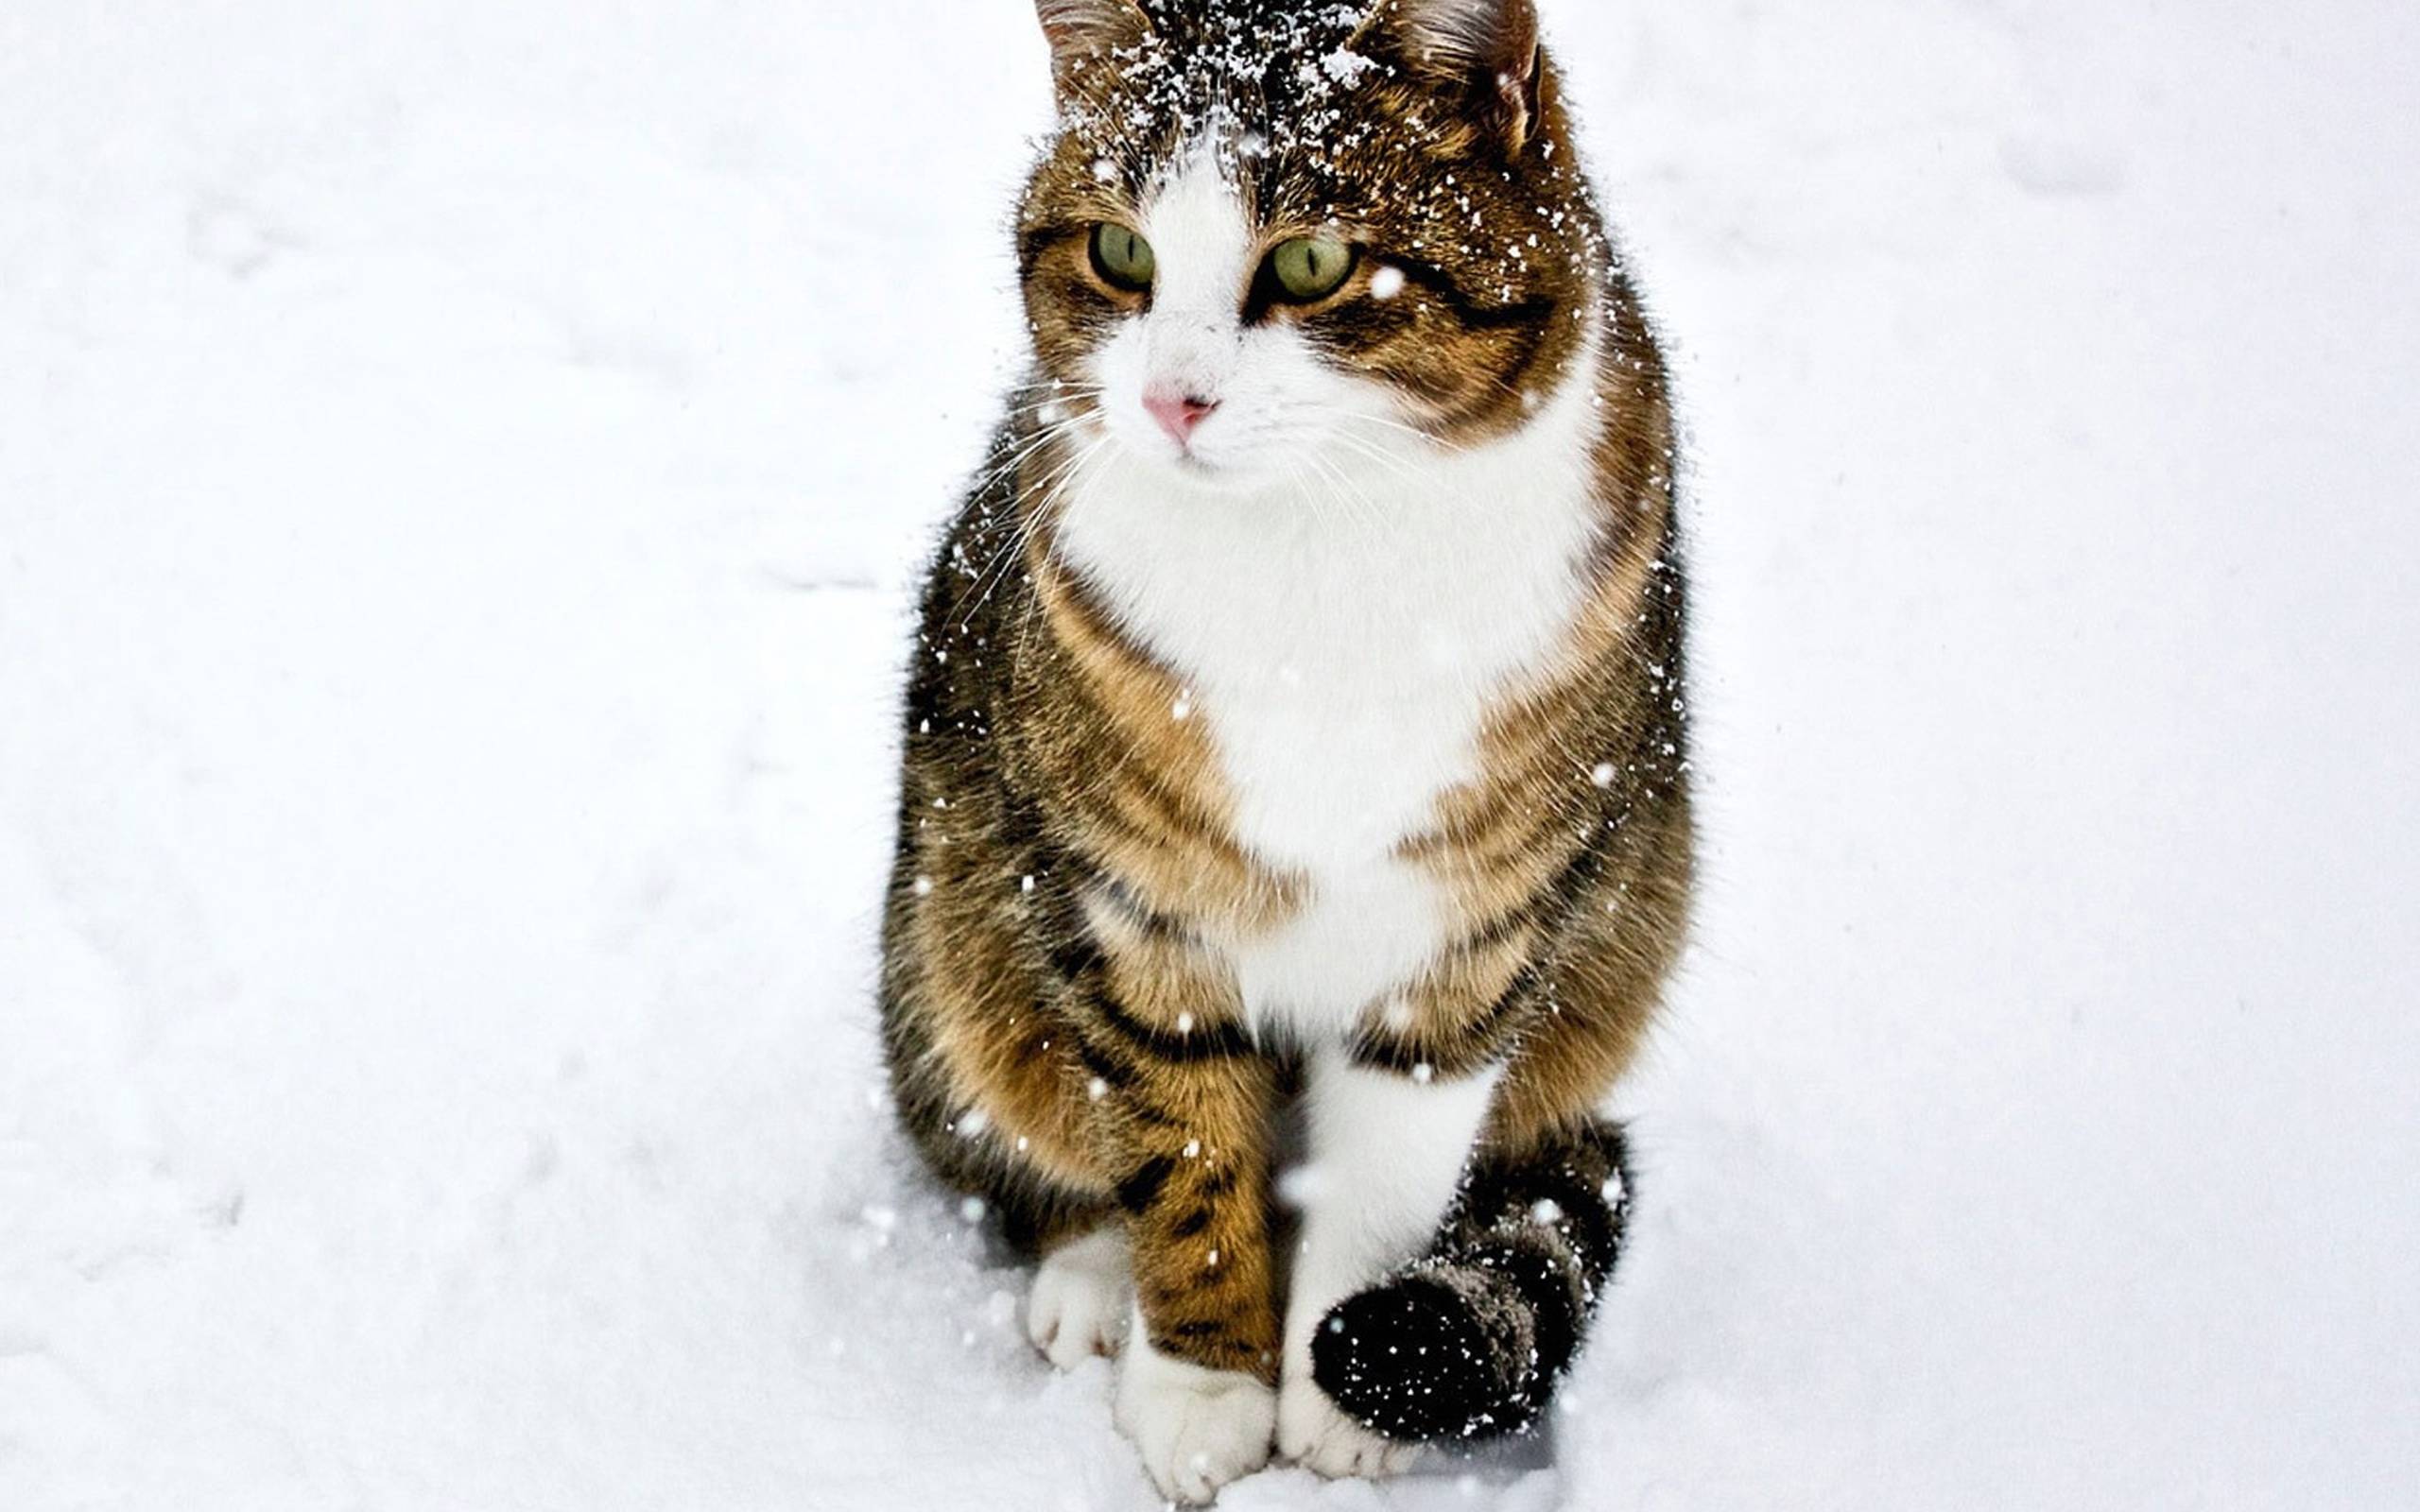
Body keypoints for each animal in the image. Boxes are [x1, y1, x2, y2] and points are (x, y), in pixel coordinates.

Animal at [880, 0, 1694, 1489]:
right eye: (1122, 253)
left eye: (1313, 262)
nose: (1173, 402)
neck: (1320, 554)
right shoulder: (1128, 895)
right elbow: (1180, 1141)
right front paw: (1202, 1388)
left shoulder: (1475, 922)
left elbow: (1384, 1174)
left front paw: (1337, 1403)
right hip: (952, 920)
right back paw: (1091, 1280)